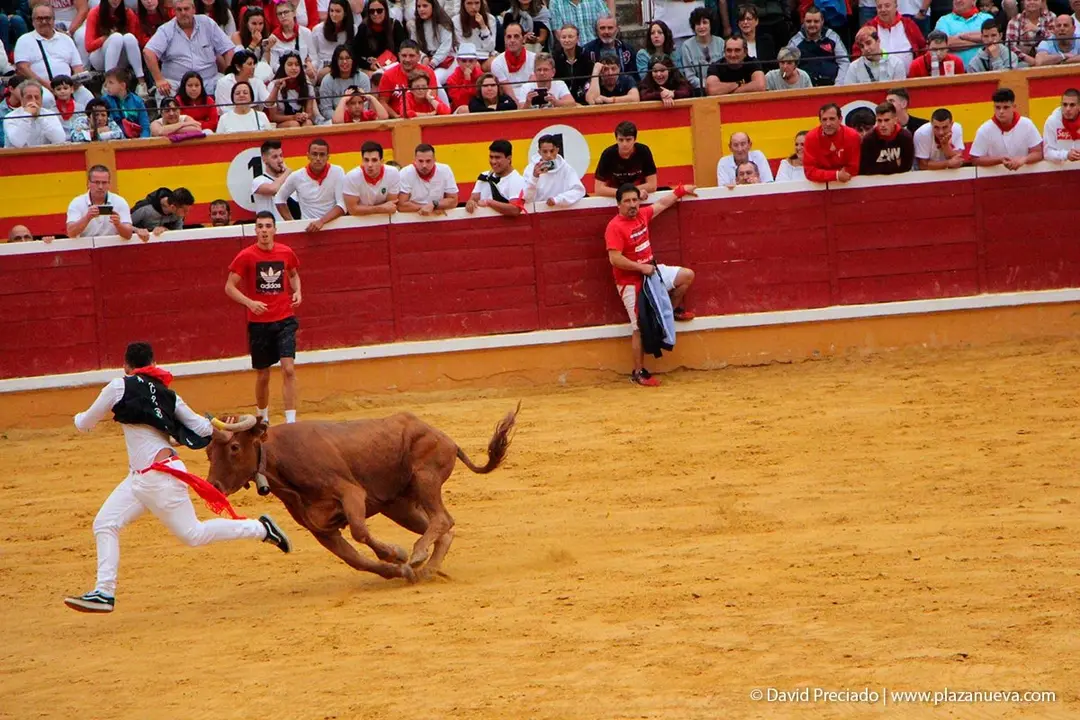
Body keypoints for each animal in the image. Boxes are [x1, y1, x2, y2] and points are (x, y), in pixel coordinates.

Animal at [205, 405, 519, 583]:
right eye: (208, 452)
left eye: (234, 447)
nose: (214, 487)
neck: (280, 456)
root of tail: (448, 439)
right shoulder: (320, 529)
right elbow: (355, 560)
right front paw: (398, 570)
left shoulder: (350, 493)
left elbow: (359, 531)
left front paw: (397, 554)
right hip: (399, 506)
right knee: (443, 528)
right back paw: (427, 569)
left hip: (425, 479)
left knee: (442, 519)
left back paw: (418, 555)